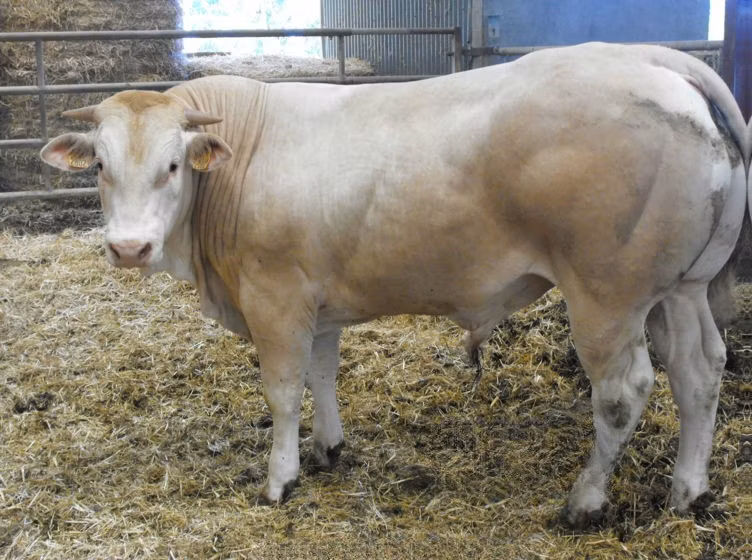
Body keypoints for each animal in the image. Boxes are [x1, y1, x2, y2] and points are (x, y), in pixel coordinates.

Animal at [40, 42, 747, 527]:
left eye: (173, 165)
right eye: (100, 166)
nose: (129, 248)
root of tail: (651, 58)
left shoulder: (275, 298)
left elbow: (283, 392)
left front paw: (280, 479)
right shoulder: (316, 302)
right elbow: (323, 374)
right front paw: (329, 449)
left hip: (608, 299)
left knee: (624, 393)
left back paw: (585, 500)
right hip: (680, 289)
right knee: (700, 372)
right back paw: (689, 491)